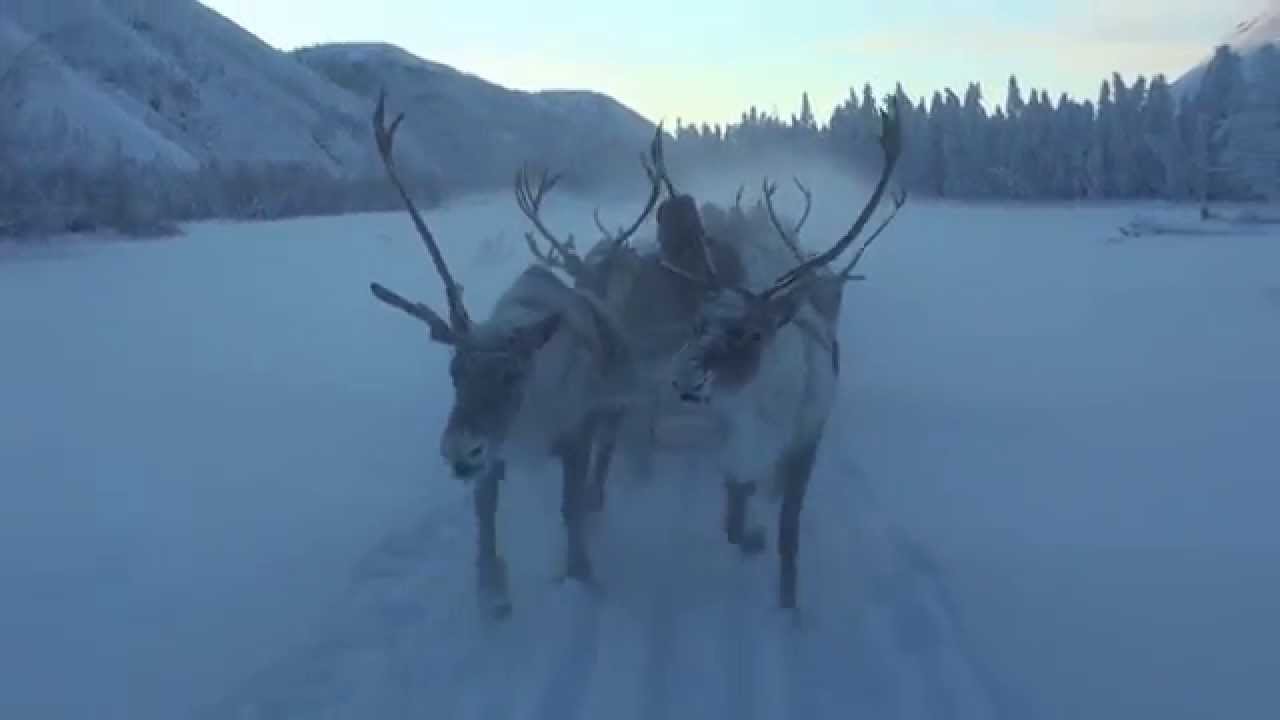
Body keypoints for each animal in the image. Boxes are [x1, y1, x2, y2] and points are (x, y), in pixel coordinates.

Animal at [661, 98, 906, 610]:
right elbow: (733, 520)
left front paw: (790, 605)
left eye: (753, 334)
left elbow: (788, 536)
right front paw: (750, 537)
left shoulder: (804, 443)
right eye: (698, 321)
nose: (684, 379)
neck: (768, 406)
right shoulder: (733, 446)